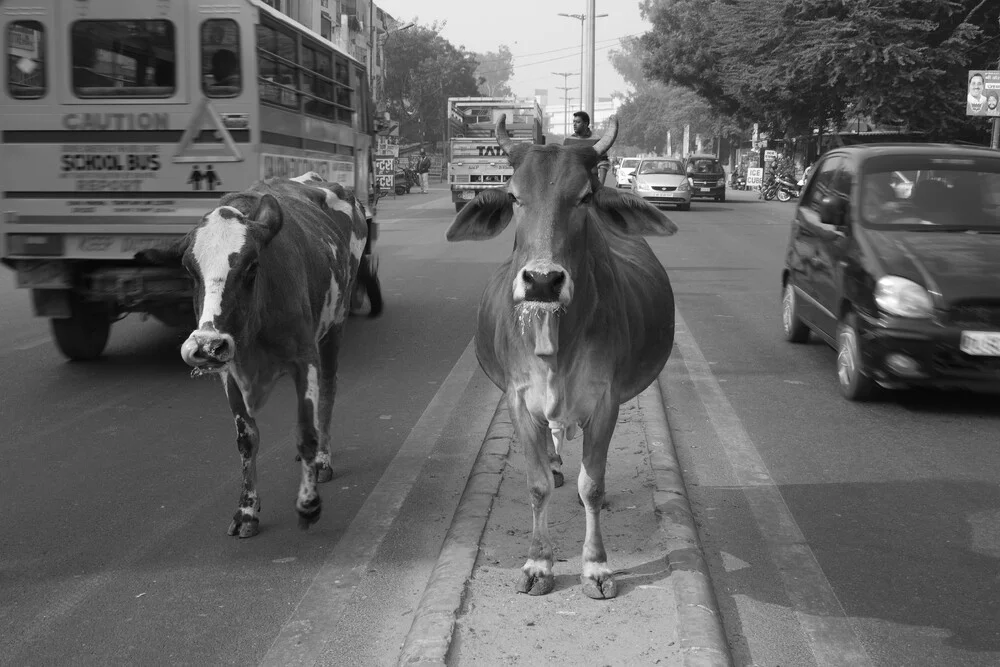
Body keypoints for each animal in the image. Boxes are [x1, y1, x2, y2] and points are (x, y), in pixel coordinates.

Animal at [133, 174, 368, 536]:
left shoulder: (305, 358)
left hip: (336, 325)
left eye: (252, 266)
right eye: (189, 271)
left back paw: (323, 459)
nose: (207, 345)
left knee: (329, 391)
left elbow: (306, 432)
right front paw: (246, 511)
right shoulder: (228, 370)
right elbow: (247, 439)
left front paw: (309, 504)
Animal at [448, 115, 676, 600]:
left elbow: (592, 486)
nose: (542, 281)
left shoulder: (606, 402)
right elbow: (535, 486)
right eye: (515, 195)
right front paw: (539, 563)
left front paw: (596, 567)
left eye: (584, 197)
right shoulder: (519, 401)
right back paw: (555, 464)